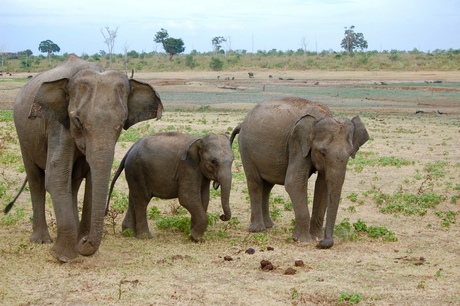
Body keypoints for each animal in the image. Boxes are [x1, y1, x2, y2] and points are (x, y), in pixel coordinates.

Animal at [13, 53, 164, 262]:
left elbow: (92, 181)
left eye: (121, 123)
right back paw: (41, 240)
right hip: (23, 135)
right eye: (78, 121)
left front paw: (79, 244)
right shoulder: (58, 123)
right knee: (35, 177)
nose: (85, 242)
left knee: (73, 182)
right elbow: (56, 175)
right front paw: (64, 257)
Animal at [230, 97, 370, 249]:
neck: (321, 117)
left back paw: (270, 226)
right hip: (245, 148)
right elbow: (294, 182)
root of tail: (242, 123)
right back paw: (259, 230)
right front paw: (304, 240)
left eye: (350, 154)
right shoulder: (297, 144)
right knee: (255, 182)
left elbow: (323, 186)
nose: (322, 243)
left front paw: (316, 237)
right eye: (323, 153)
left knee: (267, 186)